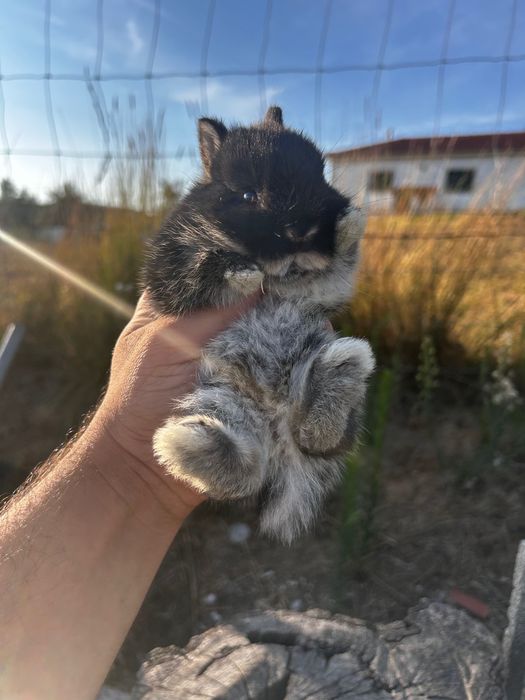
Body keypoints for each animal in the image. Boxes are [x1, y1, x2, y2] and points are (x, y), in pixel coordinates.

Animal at [144, 106, 375, 543]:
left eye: (322, 176)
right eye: (249, 195)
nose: (302, 231)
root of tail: (277, 424)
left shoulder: (319, 290)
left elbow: (338, 266)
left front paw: (349, 224)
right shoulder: (167, 279)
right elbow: (197, 269)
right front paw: (242, 272)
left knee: (319, 439)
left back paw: (340, 373)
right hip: (223, 395)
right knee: (247, 470)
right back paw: (188, 445)